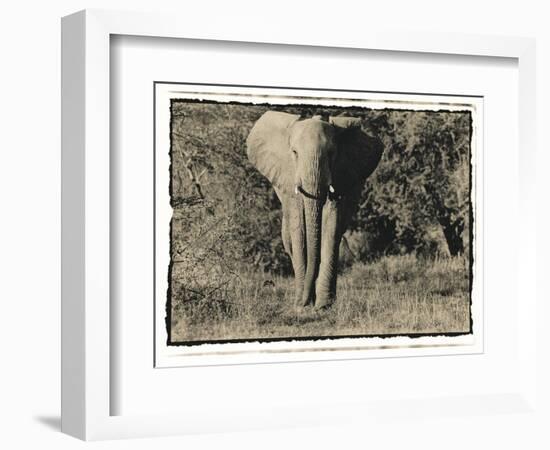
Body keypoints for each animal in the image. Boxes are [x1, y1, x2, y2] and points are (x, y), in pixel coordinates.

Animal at [249, 112, 384, 310]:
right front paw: (302, 304)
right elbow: (299, 227)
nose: (305, 302)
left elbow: (331, 221)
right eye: (294, 153)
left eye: (331, 153)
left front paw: (323, 305)